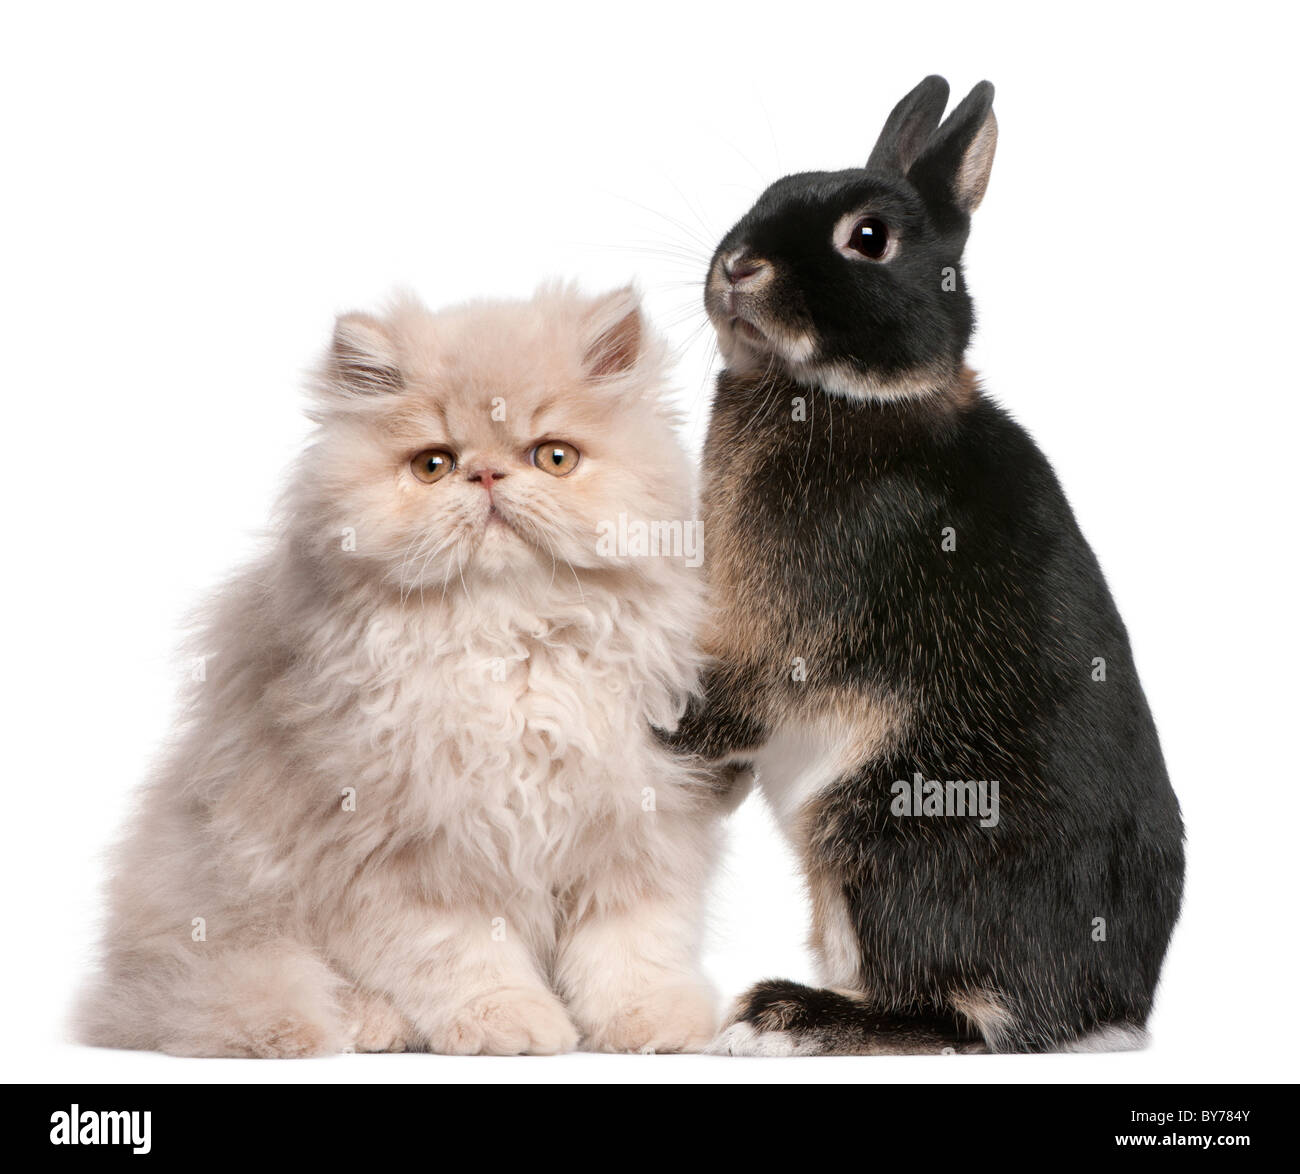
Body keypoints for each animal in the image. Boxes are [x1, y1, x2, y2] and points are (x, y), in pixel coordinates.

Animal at [668, 76, 1185, 1054]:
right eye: (768, 194)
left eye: (868, 238)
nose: (739, 267)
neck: (846, 394)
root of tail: (1107, 1006)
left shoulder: (777, 626)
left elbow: (735, 696)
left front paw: (661, 737)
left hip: (885, 833)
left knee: (952, 1015)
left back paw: (783, 1016)